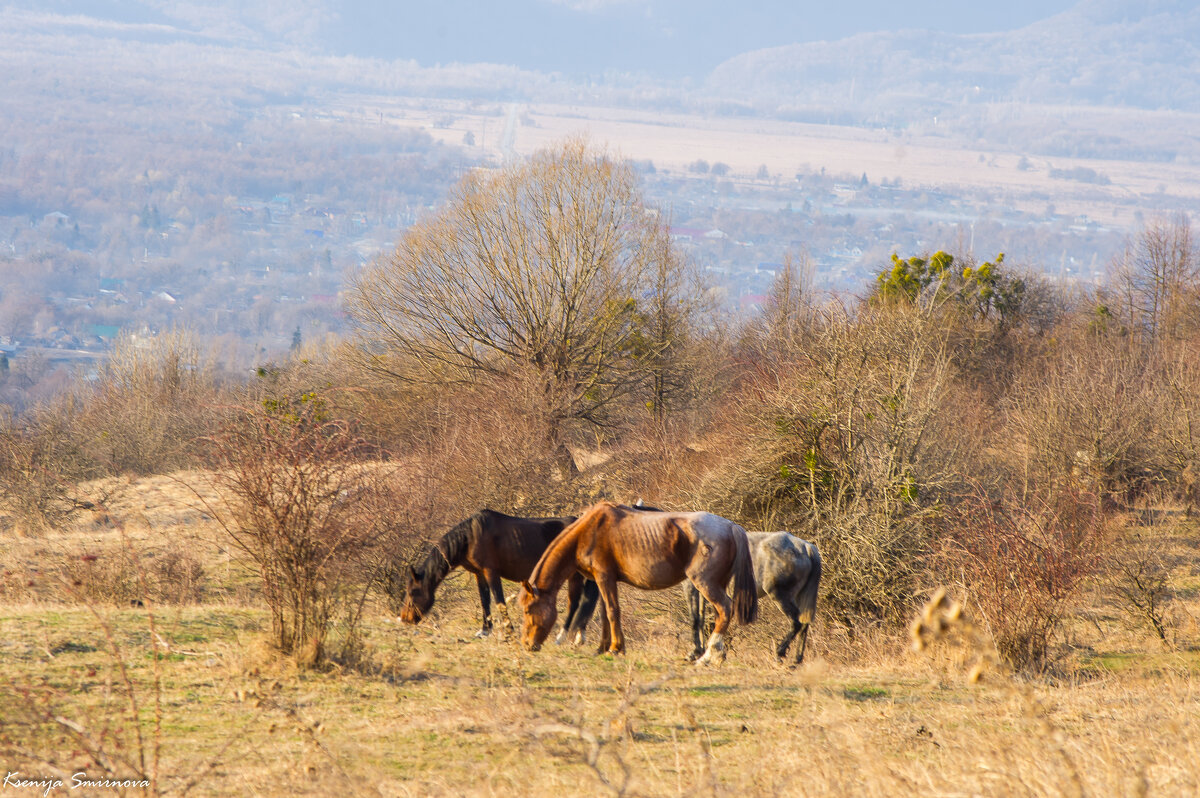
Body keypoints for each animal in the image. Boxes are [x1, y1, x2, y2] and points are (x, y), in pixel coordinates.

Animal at [393, 511, 600, 643]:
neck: (470, 537)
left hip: (574, 576)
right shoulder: (479, 574)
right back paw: (579, 636)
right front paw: (485, 630)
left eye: (412, 592)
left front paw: (508, 632)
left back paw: (562, 636)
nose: (404, 618)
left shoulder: (491, 572)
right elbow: (485, 601)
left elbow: (498, 600)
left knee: (575, 603)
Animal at [518, 501, 758, 662]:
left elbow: (612, 611)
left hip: (705, 583)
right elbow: (605, 614)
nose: (527, 645)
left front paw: (615, 648)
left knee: (725, 609)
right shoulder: (603, 581)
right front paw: (603, 647)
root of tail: (731, 526)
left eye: (528, 610)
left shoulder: (604, 577)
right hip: (717, 583)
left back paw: (708, 656)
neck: (588, 530)